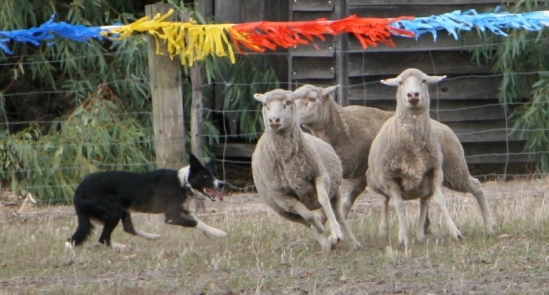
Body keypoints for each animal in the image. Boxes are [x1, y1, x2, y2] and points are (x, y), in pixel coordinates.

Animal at [68, 155, 227, 250]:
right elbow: (195, 222)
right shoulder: (171, 217)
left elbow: (199, 220)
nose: (221, 184)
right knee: (103, 238)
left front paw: (213, 232)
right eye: (205, 176)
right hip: (114, 210)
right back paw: (123, 247)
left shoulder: (182, 209)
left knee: (128, 228)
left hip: (123, 210)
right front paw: (217, 233)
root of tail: (77, 191)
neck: (183, 182)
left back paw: (151, 236)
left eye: (215, 174)